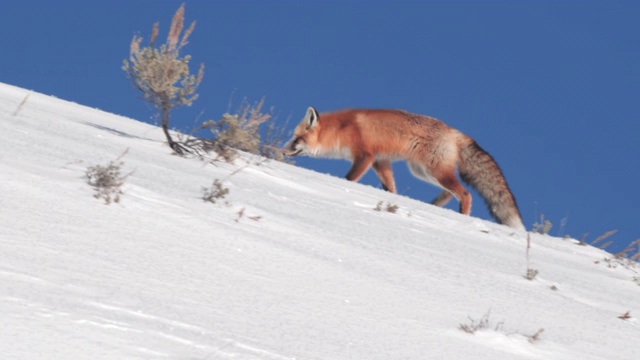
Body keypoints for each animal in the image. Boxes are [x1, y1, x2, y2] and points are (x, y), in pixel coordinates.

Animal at [284, 107, 524, 231]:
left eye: (296, 139)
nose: (284, 151)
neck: (342, 129)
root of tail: (453, 131)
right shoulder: (380, 162)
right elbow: (390, 188)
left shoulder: (365, 156)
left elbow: (349, 180)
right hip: (423, 171)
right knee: (450, 192)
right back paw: (436, 205)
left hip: (433, 171)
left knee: (465, 194)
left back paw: (462, 217)